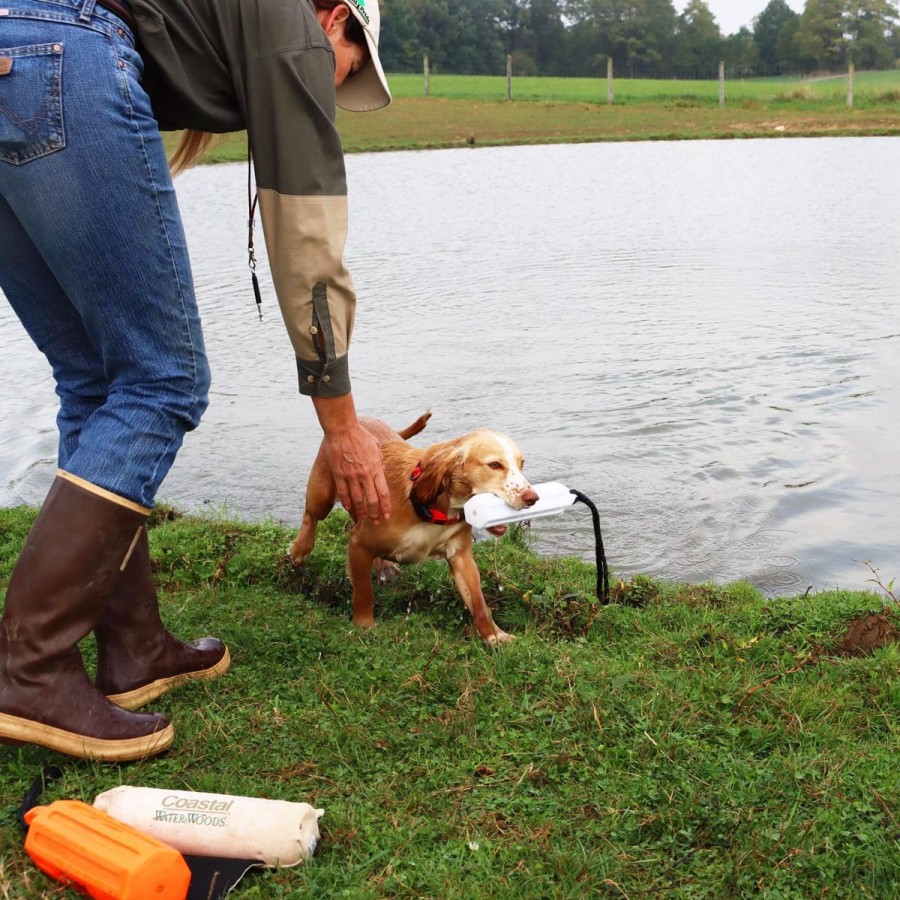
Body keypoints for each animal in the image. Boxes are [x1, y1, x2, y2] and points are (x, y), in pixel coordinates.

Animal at [292, 412, 536, 644]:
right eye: (495, 465)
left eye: (522, 463)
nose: (532, 498)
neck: (435, 511)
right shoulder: (359, 544)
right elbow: (363, 593)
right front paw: (364, 625)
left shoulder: (461, 557)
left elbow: (479, 603)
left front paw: (494, 636)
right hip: (321, 495)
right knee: (310, 516)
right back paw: (300, 549)